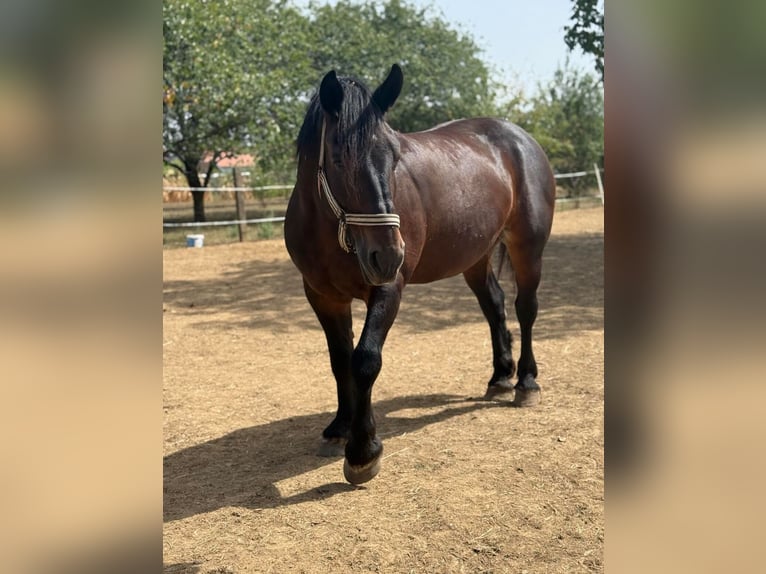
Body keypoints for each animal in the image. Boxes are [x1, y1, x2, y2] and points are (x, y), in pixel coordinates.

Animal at [284, 64, 555, 484]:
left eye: (395, 156)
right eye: (338, 158)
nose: (388, 255)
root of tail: (519, 137)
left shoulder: (388, 289)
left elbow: (365, 360)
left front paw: (363, 451)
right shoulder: (322, 296)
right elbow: (339, 361)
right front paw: (340, 427)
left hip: (527, 248)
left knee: (525, 309)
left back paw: (526, 382)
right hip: (475, 257)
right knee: (494, 306)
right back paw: (500, 376)